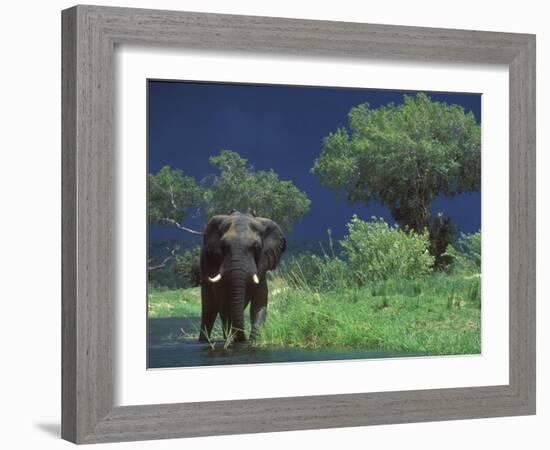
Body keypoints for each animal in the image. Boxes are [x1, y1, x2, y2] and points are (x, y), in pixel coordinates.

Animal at [198, 211, 286, 344]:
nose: (243, 340)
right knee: (209, 309)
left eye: (255, 247)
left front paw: (253, 341)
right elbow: (224, 303)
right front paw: (233, 339)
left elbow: (259, 303)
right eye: (223, 247)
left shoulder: (261, 267)